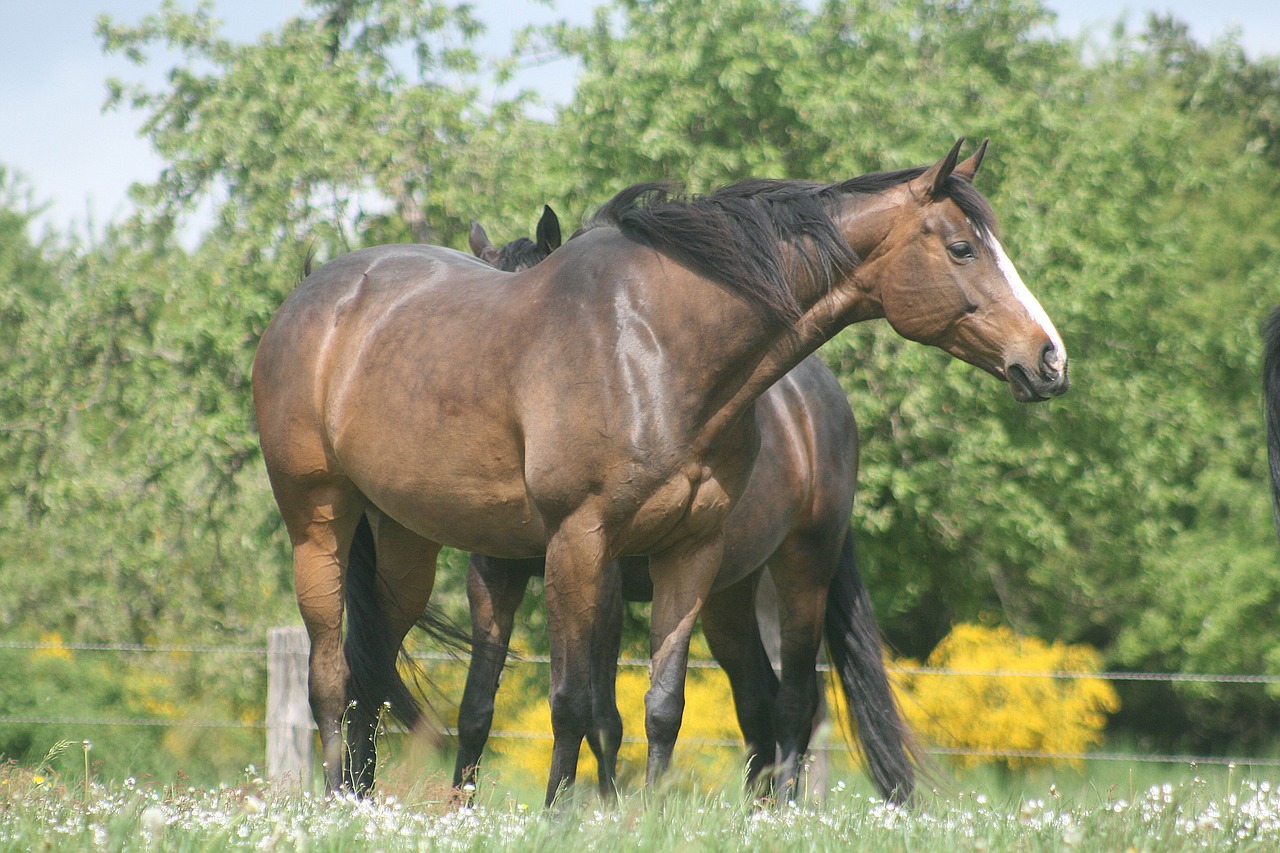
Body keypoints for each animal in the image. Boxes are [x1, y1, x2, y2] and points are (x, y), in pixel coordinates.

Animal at [252, 139, 1070, 804]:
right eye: (962, 248)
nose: (1049, 358)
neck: (653, 348)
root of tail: (311, 298)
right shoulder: (574, 547)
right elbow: (573, 702)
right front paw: (562, 813)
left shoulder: (689, 551)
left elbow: (658, 705)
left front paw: (632, 813)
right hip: (320, 520)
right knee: (333, 671)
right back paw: (339, 801)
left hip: (761, 570)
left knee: (783, 704)